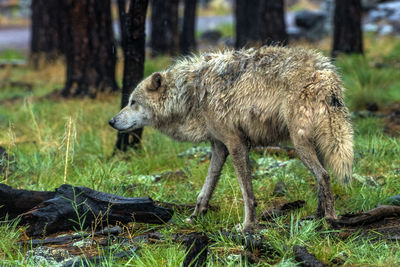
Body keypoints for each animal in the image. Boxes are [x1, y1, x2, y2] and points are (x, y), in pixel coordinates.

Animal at [108, 46, 354, 232]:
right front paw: (195, 217)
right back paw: (316, 217)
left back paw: (330, 220)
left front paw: (247, 226)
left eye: (132, 102)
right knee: (323, 177)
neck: (191, 93)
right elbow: (205, 190)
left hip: (300, 144)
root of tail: (327, 73)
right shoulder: (219, 147)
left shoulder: (236, 143)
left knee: (324, 176)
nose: (111, 121)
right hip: (314, 144)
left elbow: (247, 194)